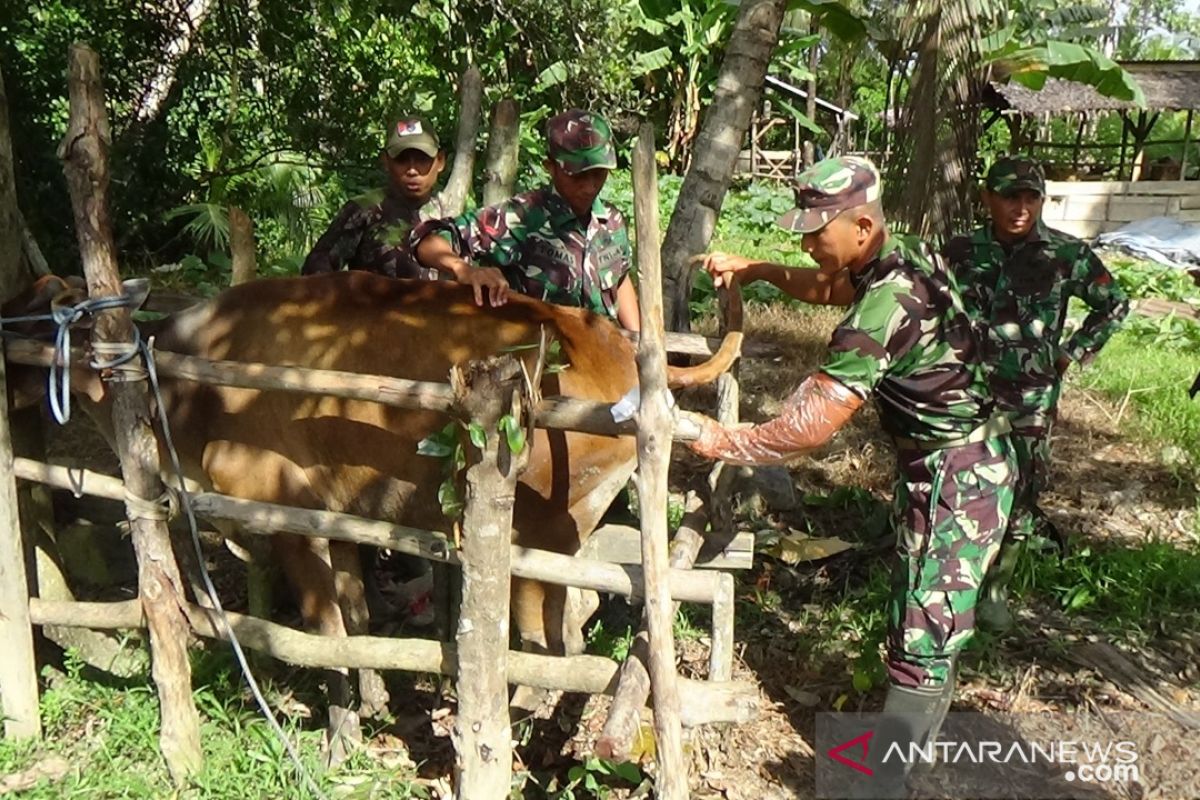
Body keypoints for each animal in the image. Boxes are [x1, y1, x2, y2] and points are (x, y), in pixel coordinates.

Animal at [4, 272, 734, 753]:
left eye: (39, 310)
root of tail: (608, 339)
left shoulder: (286, 514)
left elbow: (324, 630)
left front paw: (342, 735)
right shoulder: (338, 517)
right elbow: (355, 618)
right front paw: (376, 699)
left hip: (541, 533)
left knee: (554, 637)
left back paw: (520, 720)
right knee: (577, 617)